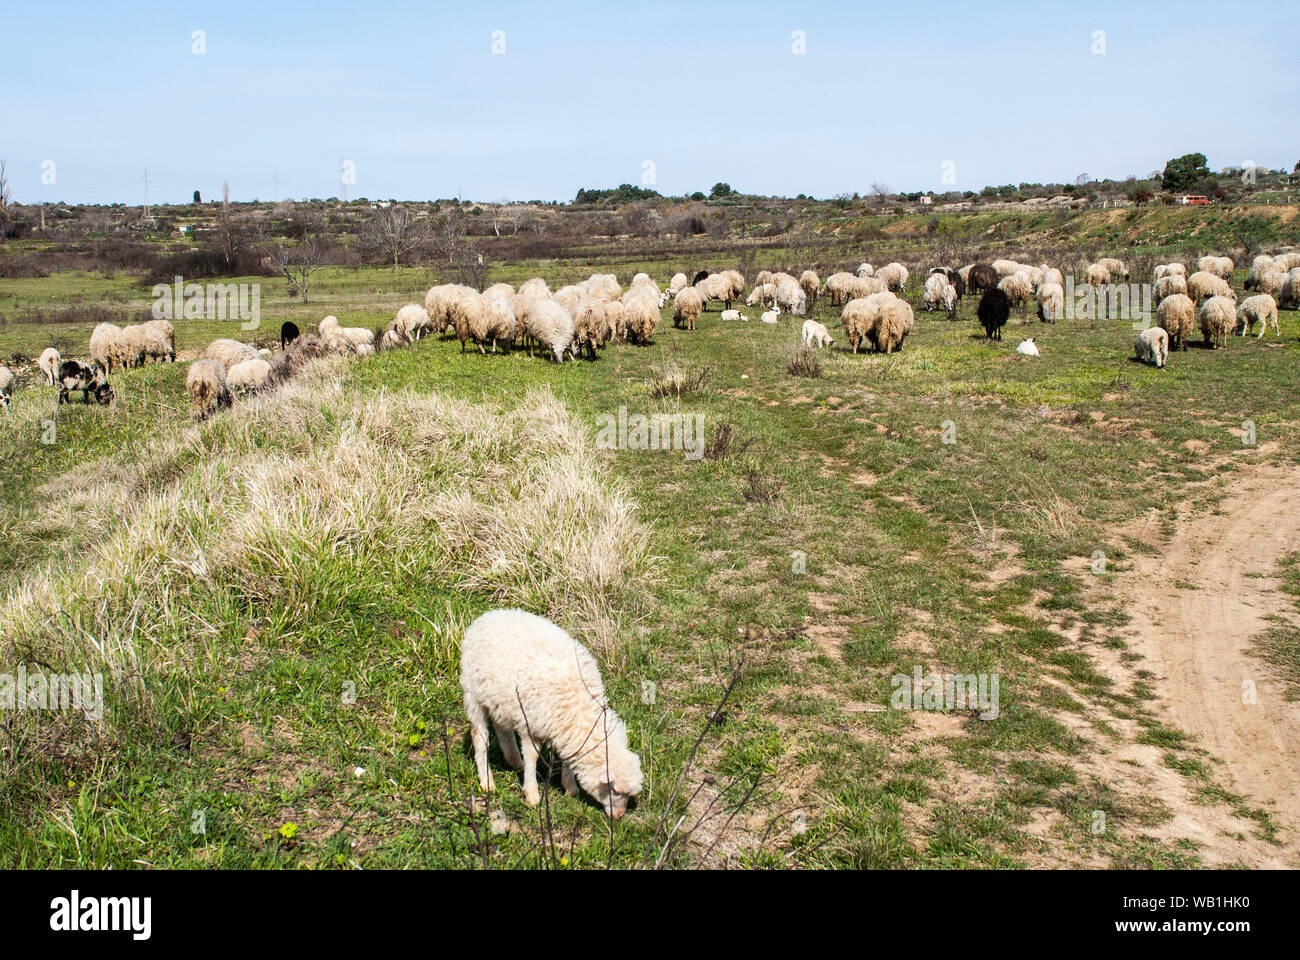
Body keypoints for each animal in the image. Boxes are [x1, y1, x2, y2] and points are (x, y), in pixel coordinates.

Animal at [460, 608, 643, 816]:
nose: (619, 816)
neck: (578, 707)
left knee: (502, 729)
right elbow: (533, 756)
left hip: (500, 701)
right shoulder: (530, 725)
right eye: (615, 790)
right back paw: (487, 782)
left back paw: (515, 760)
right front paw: (532, 793)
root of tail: (488, 615)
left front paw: (570, 787)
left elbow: (567, 757)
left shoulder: (564, 729)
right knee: (480, 738)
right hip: (473, 696)